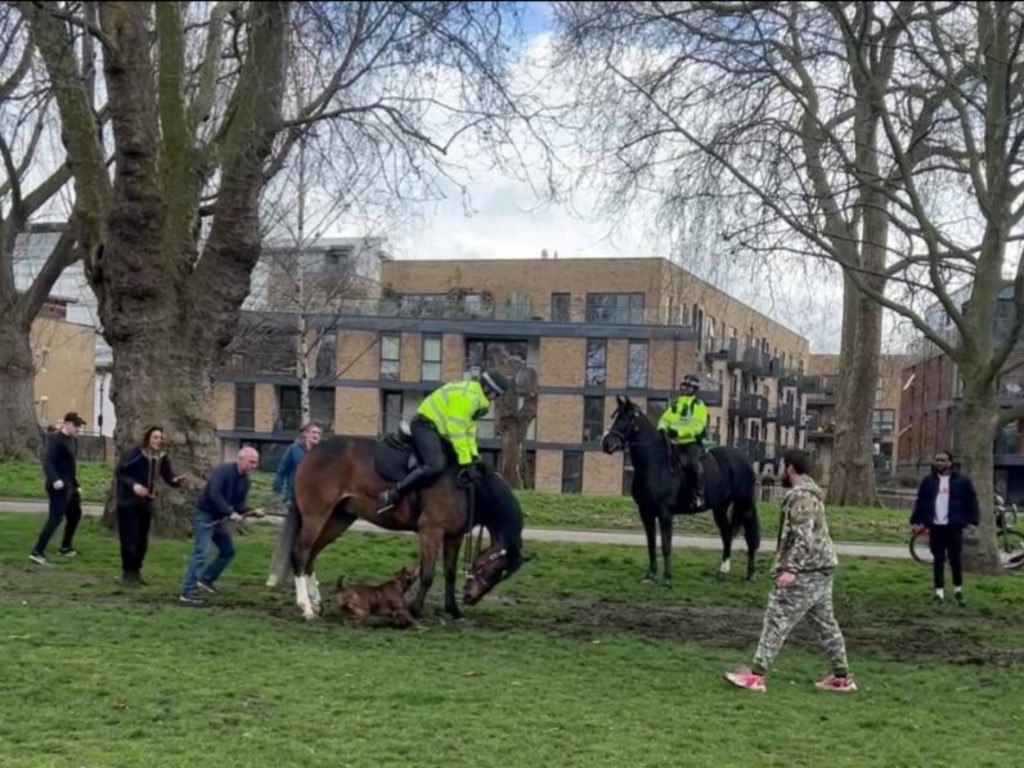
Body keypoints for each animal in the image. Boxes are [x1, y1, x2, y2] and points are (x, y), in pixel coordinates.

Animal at [268, 436, 524, 622]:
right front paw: (415, 609)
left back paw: (316, 602)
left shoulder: (454, 536)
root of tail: (310, 453)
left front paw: (453, 610)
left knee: (311, 554)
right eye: (493, 569)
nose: (471, 597)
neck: (468, 487)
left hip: (338, 519)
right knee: (301, 553)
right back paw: (306, 608)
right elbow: (428, 574)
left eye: (501, 574)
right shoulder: (431, 531)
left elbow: (450, 573)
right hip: (316, 515)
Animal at [598, 399, 761, 585]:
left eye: (625, 418)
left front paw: (667, 579)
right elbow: (651, 544)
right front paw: (650, 575)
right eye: (614, 416)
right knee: (727, 534)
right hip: (719, 508)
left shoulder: (665, 513)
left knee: (750, 538)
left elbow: (666, 545)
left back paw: (751, 574)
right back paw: (722, 571)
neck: (655, 464)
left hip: (745, 505)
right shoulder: (646, 512)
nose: (606, 443)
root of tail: (744, 459)